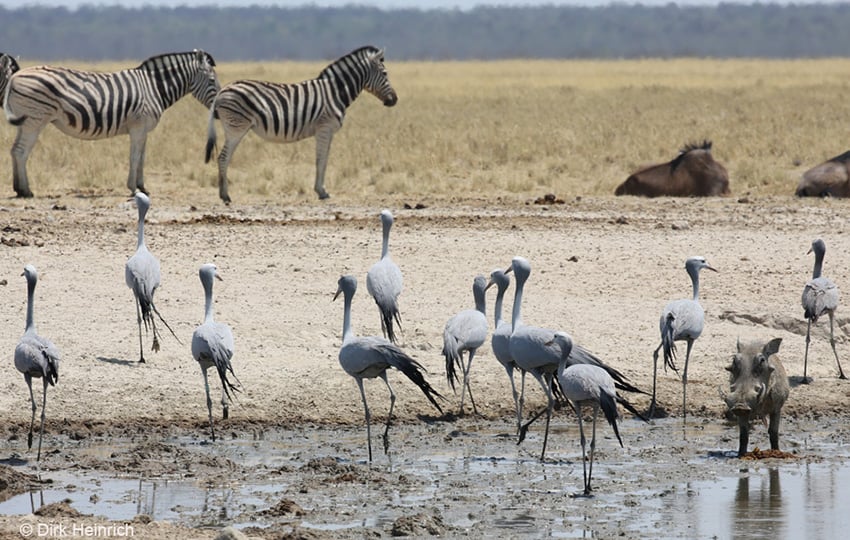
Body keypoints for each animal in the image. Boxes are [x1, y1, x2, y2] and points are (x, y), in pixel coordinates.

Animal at [4, 49, 219, 197]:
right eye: (211, 80)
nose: (217, 111)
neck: (154, 88)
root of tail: (14, 76)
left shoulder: (144, 130)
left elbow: (142, 158)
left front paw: (143, 187)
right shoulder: (138, 127)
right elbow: (134, 157)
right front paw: (133, 188)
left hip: (25, 121)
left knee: (15, 150)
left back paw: (18, 189)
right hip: (35, 120)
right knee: (22, 152)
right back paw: (26, 191)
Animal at [204, 44, 396, 202]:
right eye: (385, 73)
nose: (394, 100)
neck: (336, 92)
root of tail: (222, 91)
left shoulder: (328, 131)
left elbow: (325, 159)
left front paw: (321, 189)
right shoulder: (324, 128)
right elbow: (321, 159)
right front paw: (321, 191)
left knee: (224, 157)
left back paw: (223, 194)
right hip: (236, 127)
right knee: (223, 157)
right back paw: (225, 196)